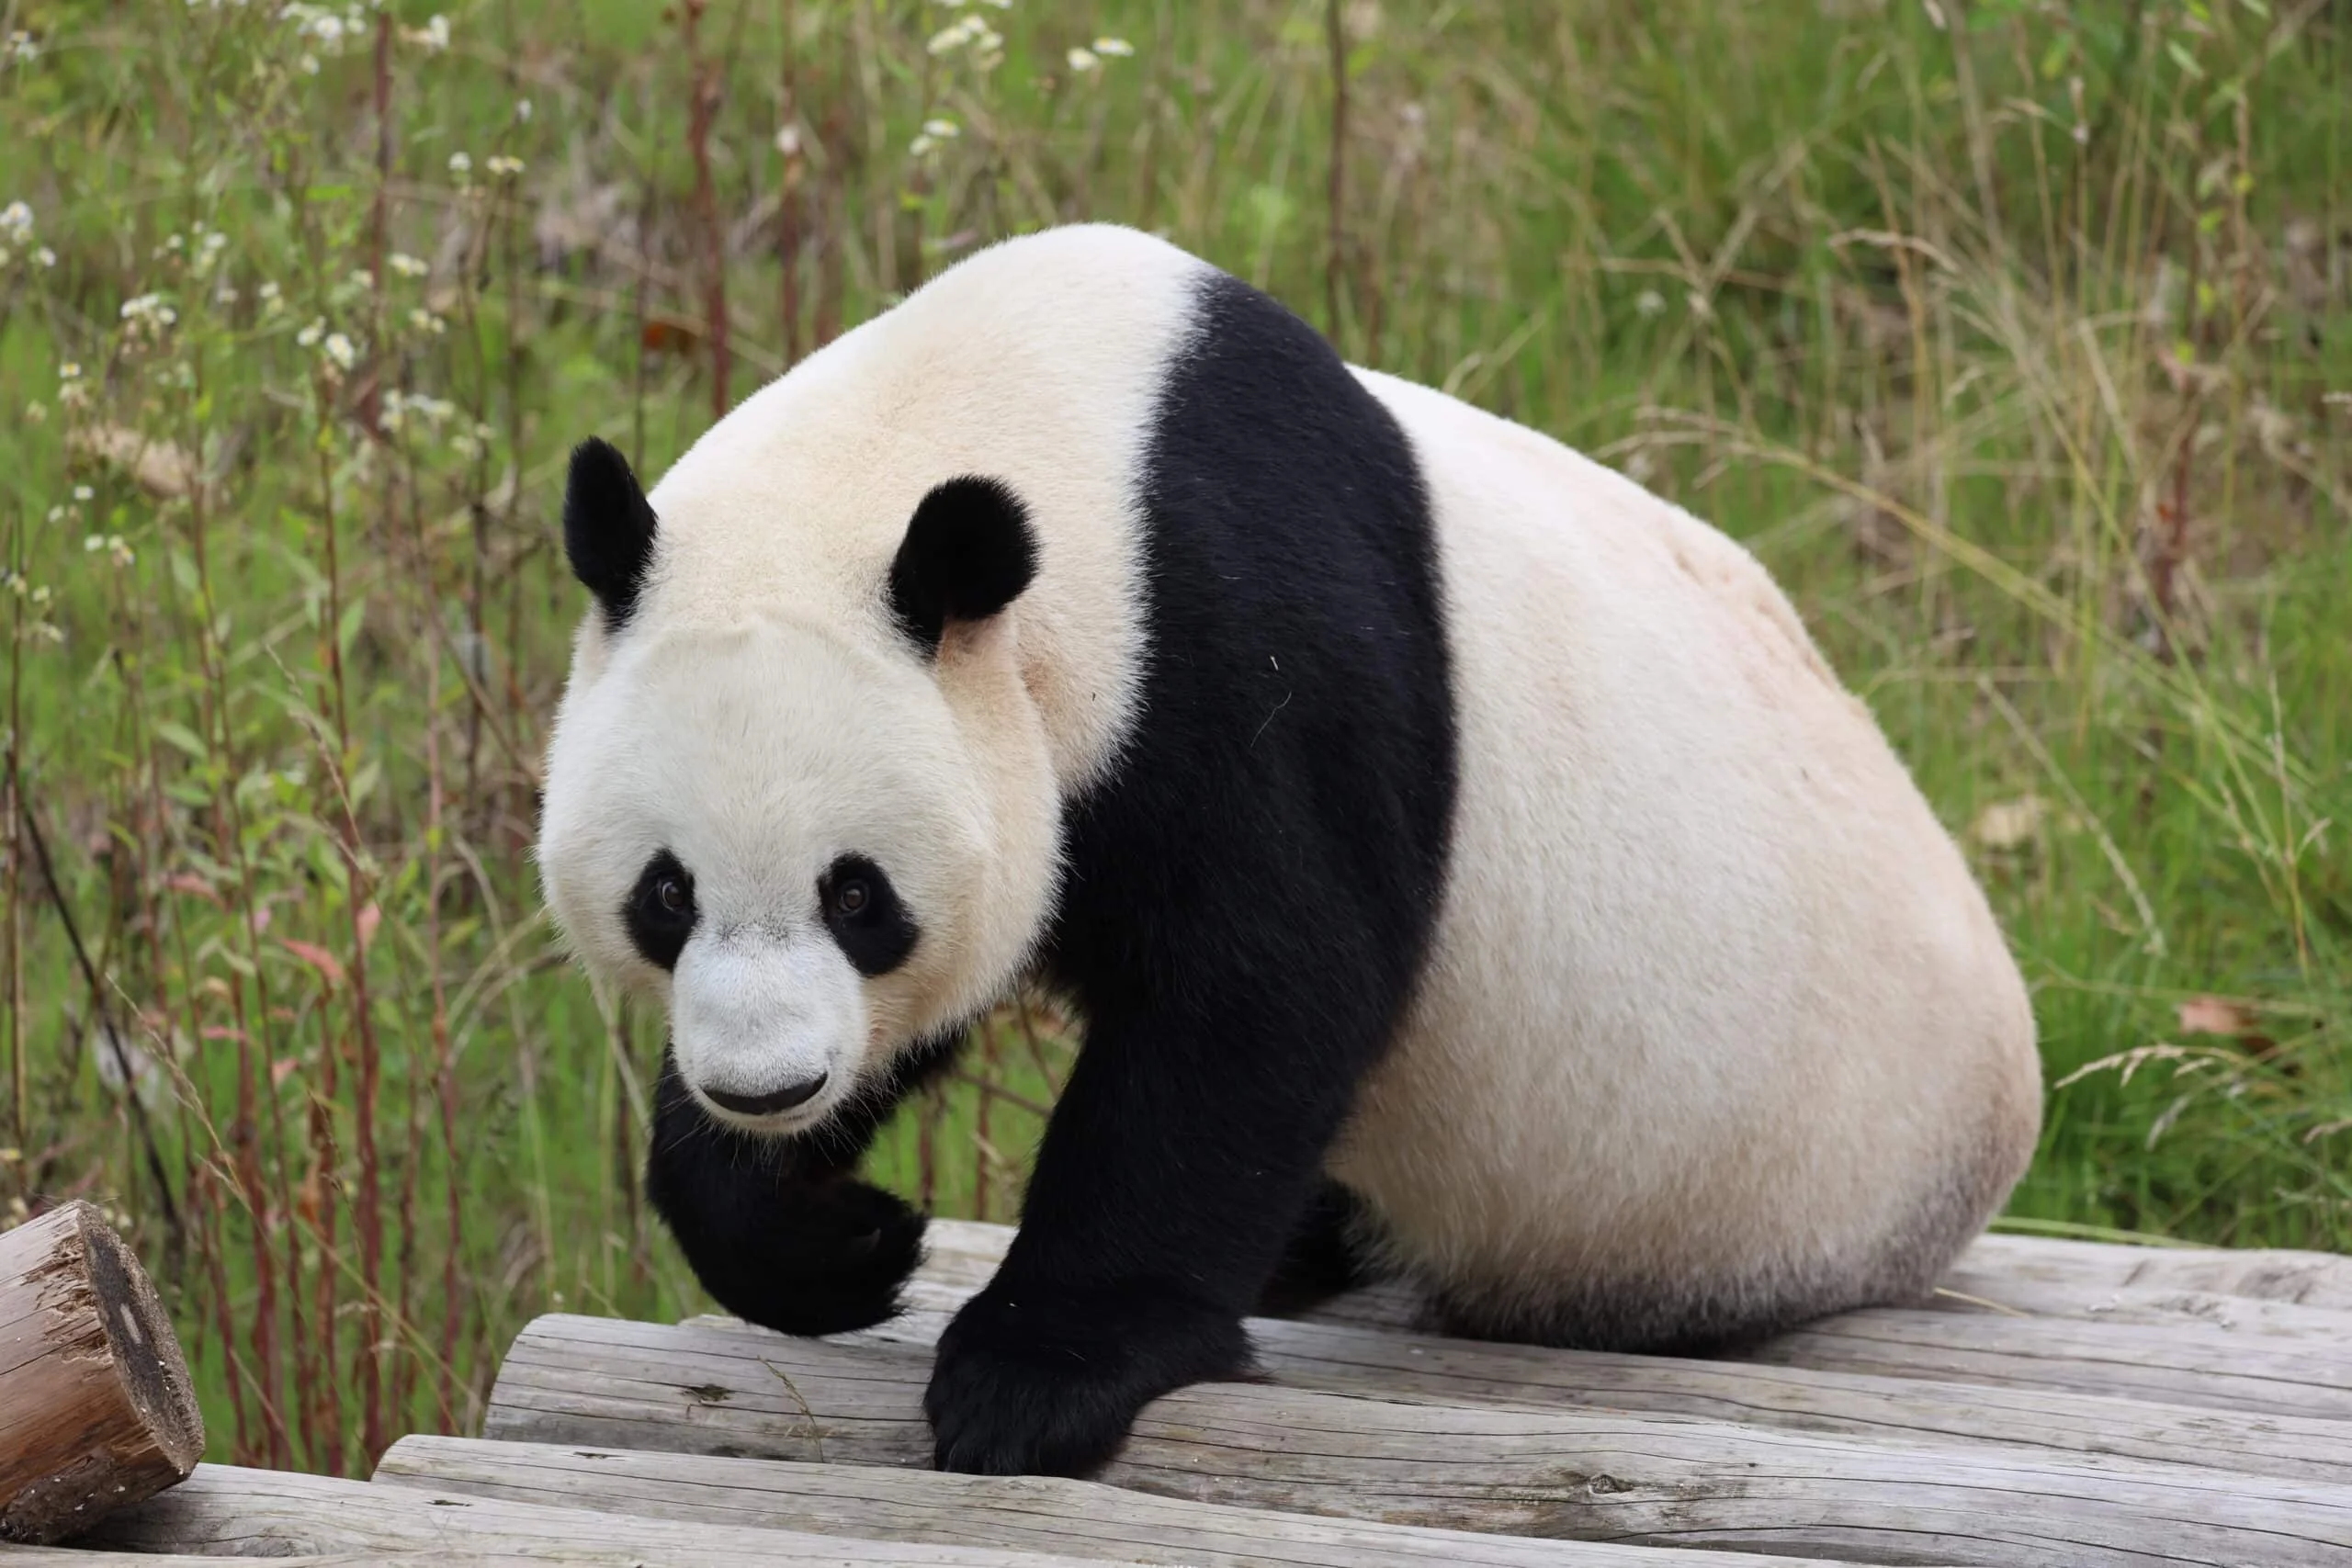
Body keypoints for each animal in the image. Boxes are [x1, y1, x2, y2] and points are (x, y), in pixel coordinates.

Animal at [534, 223, 2043, 1479]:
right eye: (665, 895)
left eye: (859, 895)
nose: (769, 1085)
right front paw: (834, 1239)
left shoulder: (1244, 647)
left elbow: (1259, 993)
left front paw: (1032, 1377)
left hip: (1776, 1171)